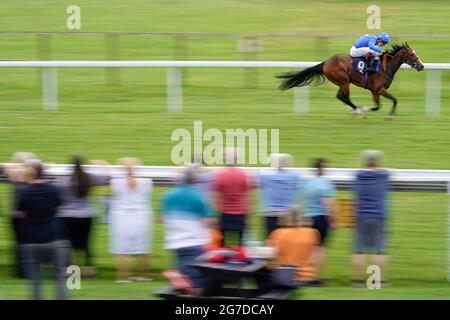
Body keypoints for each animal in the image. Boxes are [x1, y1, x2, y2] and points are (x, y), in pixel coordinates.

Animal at [276, 42, 424, 117]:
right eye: (412, 54)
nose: (421, 66)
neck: (385, 67)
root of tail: (325, 62)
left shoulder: (374, 91)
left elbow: (378, 106)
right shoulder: (379, 89)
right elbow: (394, 100)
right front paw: (389, 115)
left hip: (342, 82)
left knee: (340, 96)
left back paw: (355, 109)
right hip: (344, 81)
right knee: (345, 97)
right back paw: (358, 111)